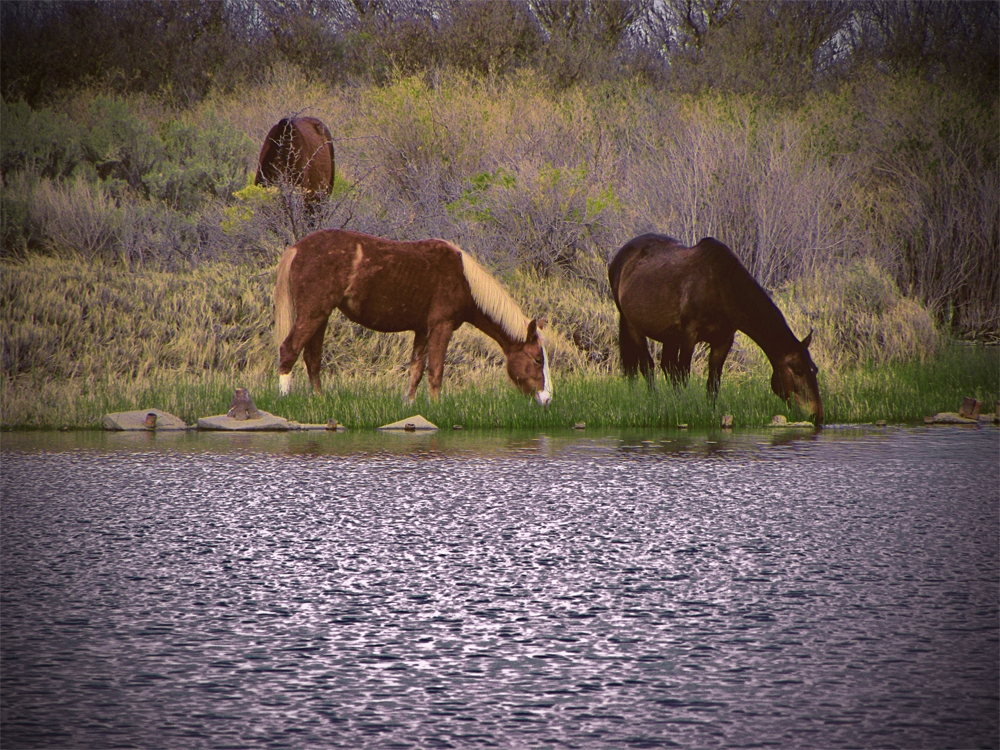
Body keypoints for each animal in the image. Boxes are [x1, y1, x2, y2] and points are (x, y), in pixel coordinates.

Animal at [274, 229, 556, 406]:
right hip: (313, 313)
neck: (464, 279)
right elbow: (436, 371)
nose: (547, 399)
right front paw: (436, 408)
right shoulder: (442, 326)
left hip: (321, 317)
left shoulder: (422, 330)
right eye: (537, 359)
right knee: (289, 350)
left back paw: (319, 400)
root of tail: (297, 249)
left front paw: (409, 405)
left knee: (312, 359)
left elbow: (416, 371)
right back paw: (285, 399)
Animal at [604, 232, 824, 426]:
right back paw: (655, 400)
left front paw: (708, 412)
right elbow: (683, 373)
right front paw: (683, 409)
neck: (720, 286)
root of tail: (620, 258)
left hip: (669, 336)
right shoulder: (689, 336)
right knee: (647, 367)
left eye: (814, 369)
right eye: (797, 371)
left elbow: (713, 381)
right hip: (633, 325)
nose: (817, 415)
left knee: (666, 366)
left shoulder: (723, 341)